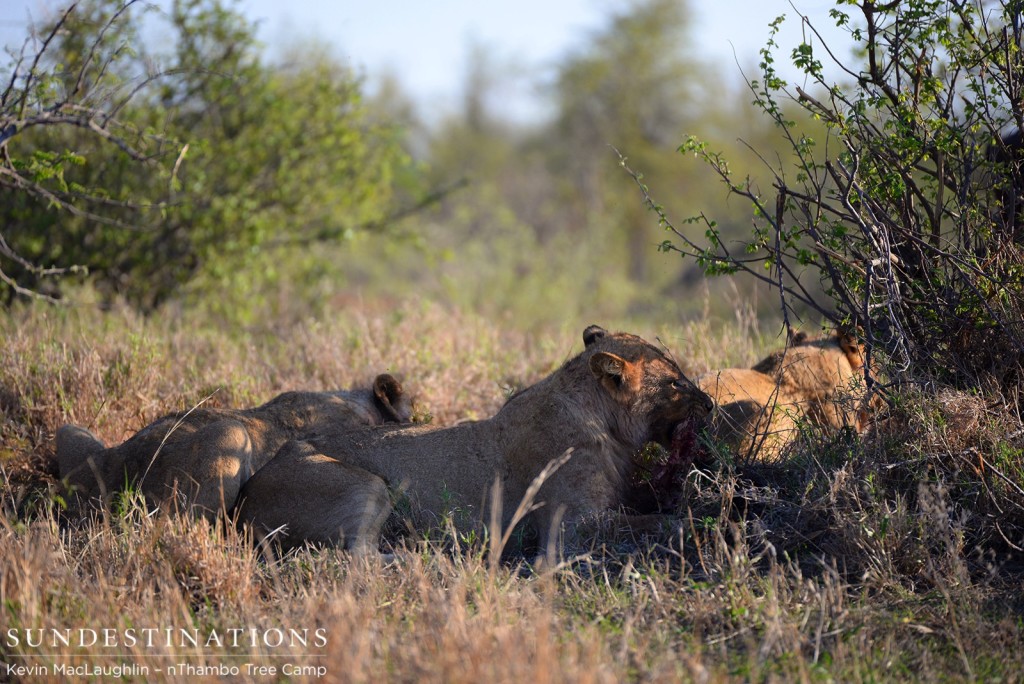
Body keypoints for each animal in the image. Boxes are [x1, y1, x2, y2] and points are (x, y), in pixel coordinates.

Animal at [234, 325, 712, 557]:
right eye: (675, 383)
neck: (606, 425)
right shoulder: (570, 529)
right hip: (364, 485)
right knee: (352, 558)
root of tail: (246, 497)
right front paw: (704, 527)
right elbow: (654, 524)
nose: (709, 403)